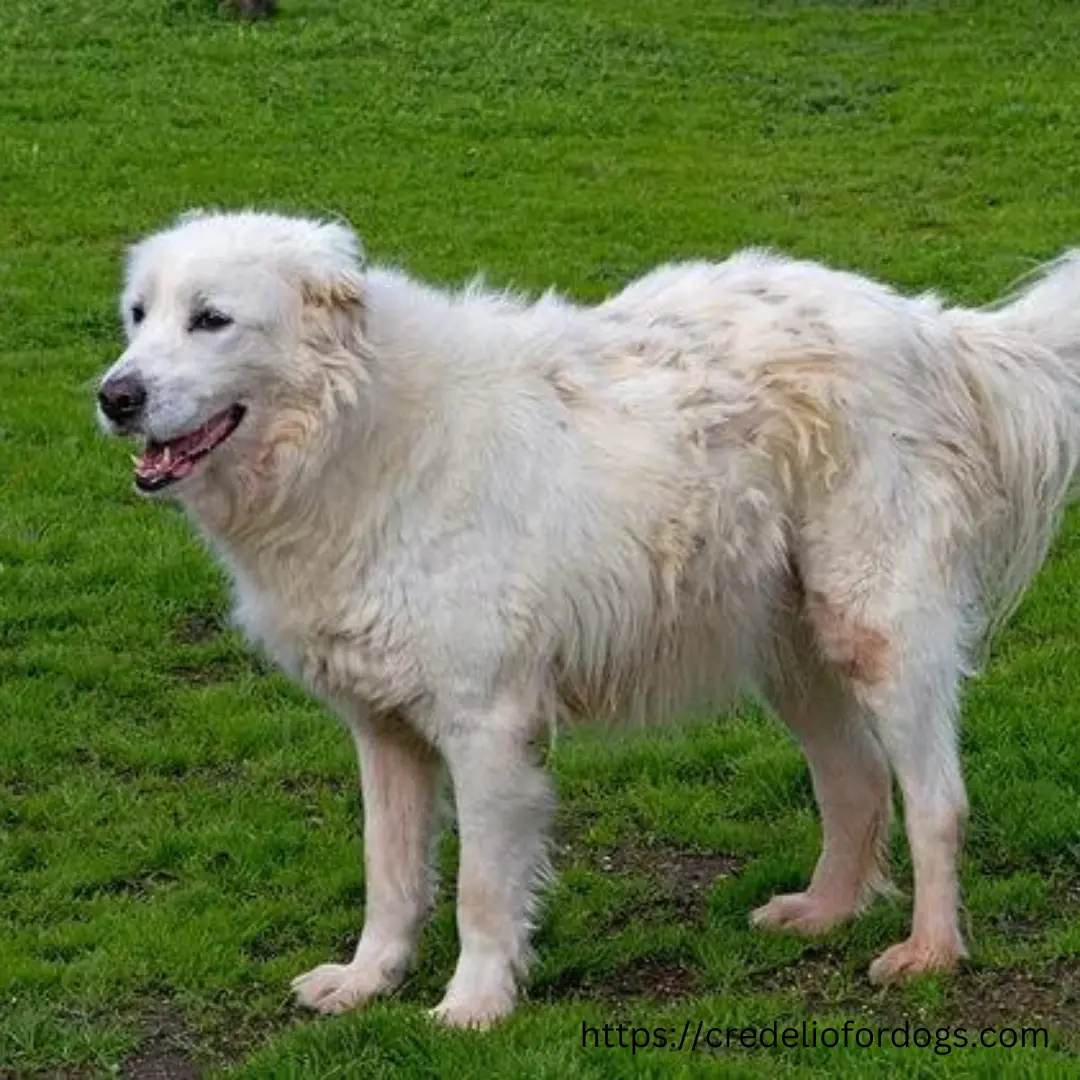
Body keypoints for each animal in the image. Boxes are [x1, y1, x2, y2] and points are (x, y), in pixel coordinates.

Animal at [97, 212, 1080, 1028]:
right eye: (138, 317)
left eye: (212, 319)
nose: (115, 396)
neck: (356, 430)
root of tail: (929, 326)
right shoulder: (384, 731)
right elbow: (391, 875)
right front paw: (367, 980)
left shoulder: (488, 726)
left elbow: (481, 891)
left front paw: (473, 1005)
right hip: (793, 653)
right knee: (856, 781)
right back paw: (823, 912)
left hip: (876, 632)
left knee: (936, 799)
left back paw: (930, 953)